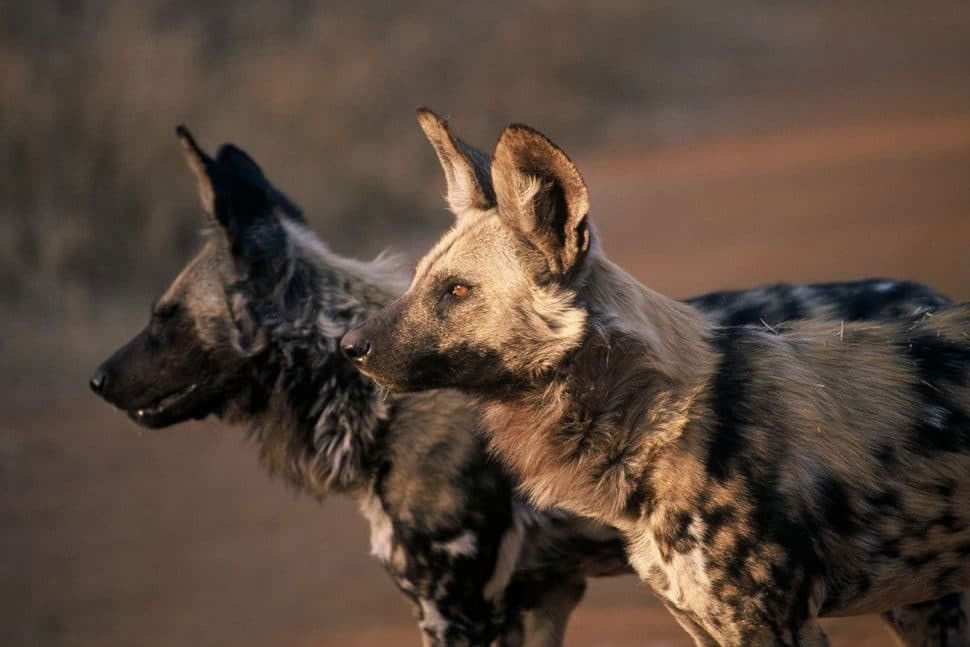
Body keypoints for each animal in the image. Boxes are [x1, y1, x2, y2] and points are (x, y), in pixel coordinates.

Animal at [340, 110, 968, 647]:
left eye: (457, 291)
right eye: (417, 281)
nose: (348, 346)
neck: (653, 423)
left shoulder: (769, 626)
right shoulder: (703, 624)